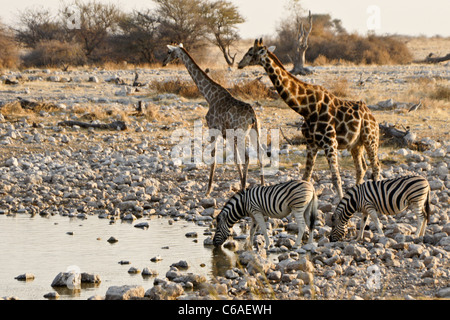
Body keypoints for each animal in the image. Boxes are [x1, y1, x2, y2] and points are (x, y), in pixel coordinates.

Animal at [163, 43, 266, 195]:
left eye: (169, 52)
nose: (164, 62)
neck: (209, 96)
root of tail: (253, 116)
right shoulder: (227, 134)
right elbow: (235, 159)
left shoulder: (213, 128)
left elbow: (214, 158)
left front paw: (208, 190)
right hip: (255, 132)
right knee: (260, 154)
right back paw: (261, 185)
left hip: (241, 134)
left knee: (247, 158)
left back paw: (244, 187)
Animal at [236, 38, 380, 199]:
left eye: (250, 53)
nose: (239, 64)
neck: (307, 109)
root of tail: (373, 117)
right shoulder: (311, 144)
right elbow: (306, 178)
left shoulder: (330, 142)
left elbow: (336, 178)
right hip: (356, 144)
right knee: (361, 168)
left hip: (370, 138)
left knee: (375, 166)